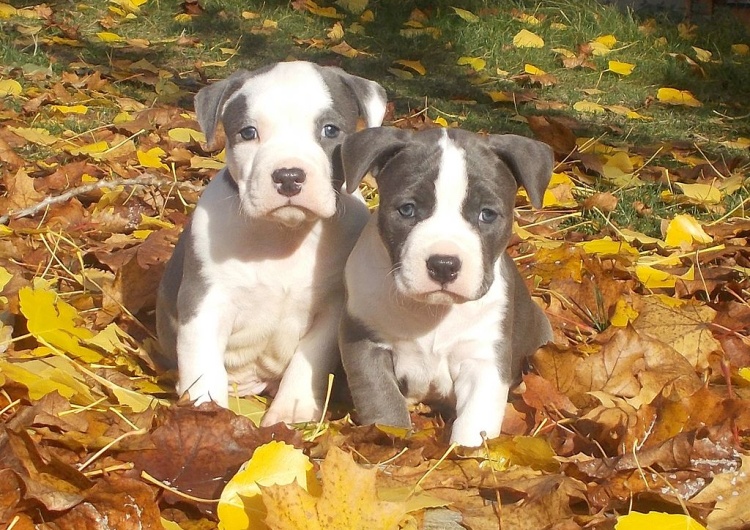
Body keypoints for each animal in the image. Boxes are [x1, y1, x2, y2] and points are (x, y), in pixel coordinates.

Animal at [154, 60, 388, 424]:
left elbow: (310, 357)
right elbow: (202, 362)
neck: (283, 235)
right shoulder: (204, 301)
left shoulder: (333, 308)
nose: (289, 176)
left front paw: (293, 408)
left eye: (330, 130)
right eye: (248, 133)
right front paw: (205, 411)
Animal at [338, 127, 556, 446]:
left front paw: (466, 452)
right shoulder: (365, 343)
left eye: (487, 214)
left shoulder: (483, 358)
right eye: (407, 210)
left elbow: (474, 422)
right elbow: (381, 401)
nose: (443, 264)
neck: (433, 313)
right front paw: (391, 437)